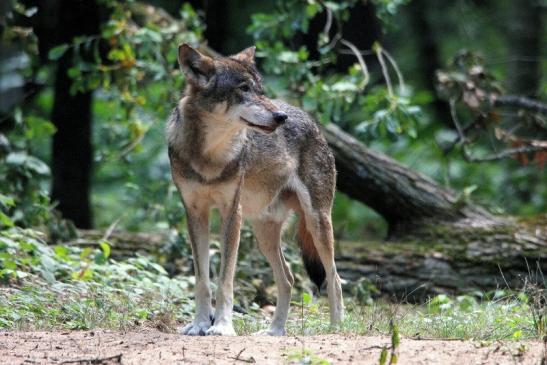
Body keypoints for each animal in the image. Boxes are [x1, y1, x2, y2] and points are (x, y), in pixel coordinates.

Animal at [167, 43, 344, 336]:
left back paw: (335, 327)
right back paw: (275, 331)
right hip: (264, 234)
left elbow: (225, 280)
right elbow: (202, 280)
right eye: (244, 88)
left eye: (260, 89)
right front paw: (200, 323)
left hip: (318, 222)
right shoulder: (194, 213)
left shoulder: (231, 213)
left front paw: (222, 326)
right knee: (288, 278)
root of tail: (312, 121)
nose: (281, 117)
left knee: (334, 275)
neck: (209, 155)